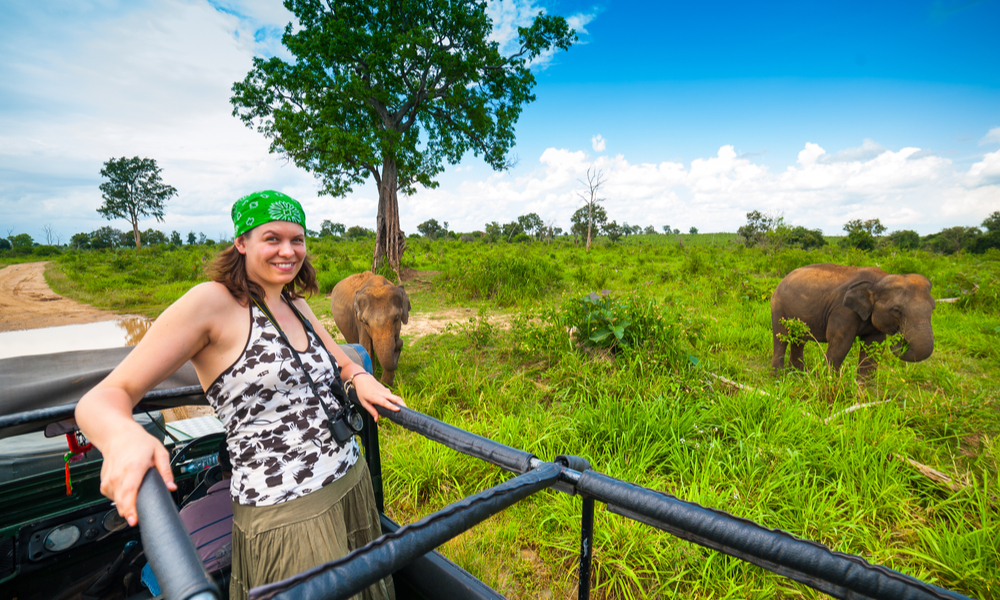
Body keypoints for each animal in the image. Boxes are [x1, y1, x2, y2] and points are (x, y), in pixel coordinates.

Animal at [768, 262, 932, 376]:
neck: (878, 281)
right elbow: (841, 344)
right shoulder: (843, 310)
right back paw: (778, 376)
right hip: (778, 305)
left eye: (933, 308)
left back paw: (798, 375)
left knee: (799, 339)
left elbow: (874, 347)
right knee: (781, 338)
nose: (900, 340)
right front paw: (826, 381)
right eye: (897, 311)